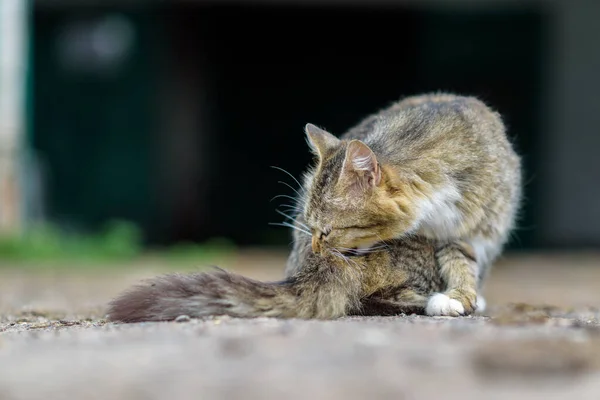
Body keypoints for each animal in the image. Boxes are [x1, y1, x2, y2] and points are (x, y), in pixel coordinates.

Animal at [292, 94, 524, 316]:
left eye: (327, 232)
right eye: (311, 227)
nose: (316, 250)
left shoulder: (472, 229)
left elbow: (464, 261)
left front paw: (459, 295)